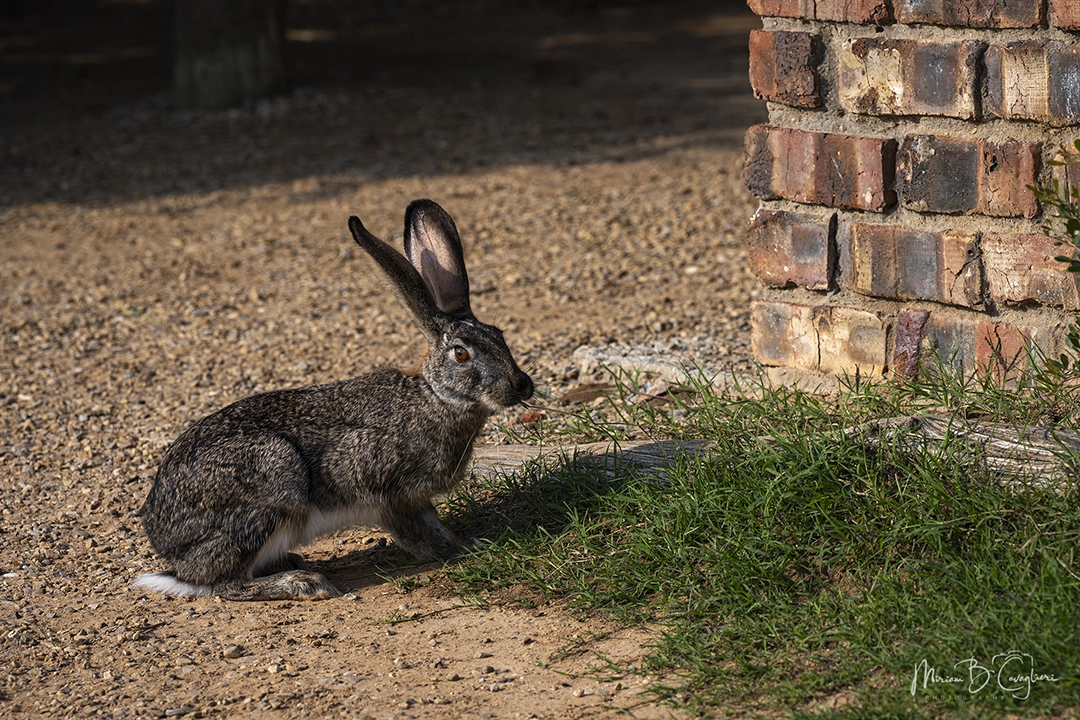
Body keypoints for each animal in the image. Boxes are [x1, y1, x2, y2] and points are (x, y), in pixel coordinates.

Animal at [134, 199, 534, 601]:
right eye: (461, 354)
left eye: (499, 336)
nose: (521, 385)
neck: (435, 397)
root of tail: (172, 554)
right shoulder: (385, 490)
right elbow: (411, 532)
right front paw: (443, 553)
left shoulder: (417, 499)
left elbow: (435, 523)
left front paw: (464, 543)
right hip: (271, 479)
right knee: (226, 584)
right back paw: (303, 582)